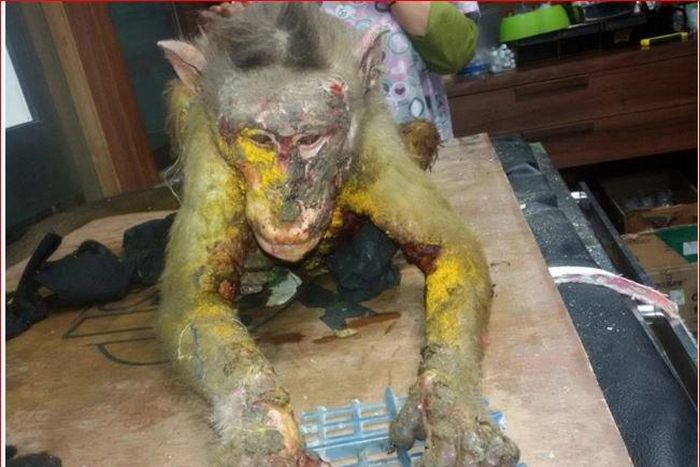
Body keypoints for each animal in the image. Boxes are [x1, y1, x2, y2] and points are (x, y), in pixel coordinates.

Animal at [157, 4, 520, 466]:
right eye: (260, 139)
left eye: (311, 139)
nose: (287, 205)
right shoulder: (209, 154)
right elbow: (194, 299)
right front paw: (262, 431)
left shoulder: (372, 149)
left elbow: (452, 250)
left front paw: (449, 406)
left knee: (421, 132)